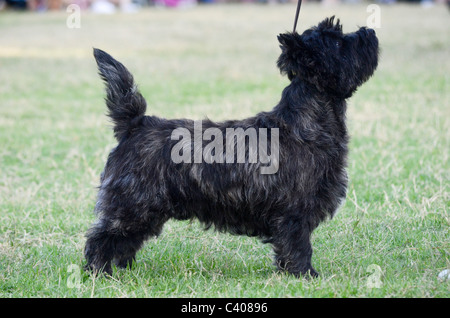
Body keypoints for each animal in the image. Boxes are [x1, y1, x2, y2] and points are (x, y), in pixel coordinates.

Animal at [85, 16, 380, 278]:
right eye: (338, 42)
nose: (370, 31)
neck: (305, 122)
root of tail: (135, 124)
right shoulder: (295, 210)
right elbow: (298, 245)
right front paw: (305, 275)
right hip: (133, 205)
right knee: (101, 238)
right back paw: (98, 272)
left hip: (145, 211)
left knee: (125, 242)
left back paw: (123, 270)